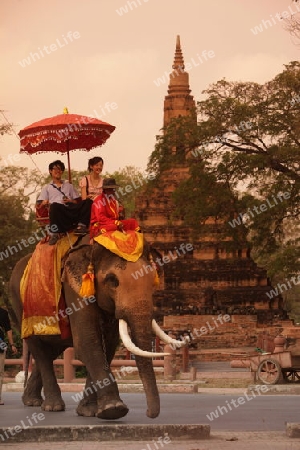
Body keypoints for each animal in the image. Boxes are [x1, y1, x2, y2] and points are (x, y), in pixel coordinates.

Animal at [8, 237, 183, 420]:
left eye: (152, 280)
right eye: (112, 280)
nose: (149, 414)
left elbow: (108, 345)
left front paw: (89, 412)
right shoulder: (75, 292)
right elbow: (88, 343)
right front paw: (114, 410)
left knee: (51, 350)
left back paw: (32, 401)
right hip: (20, 308)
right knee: (40, 350)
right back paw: (52, 406)